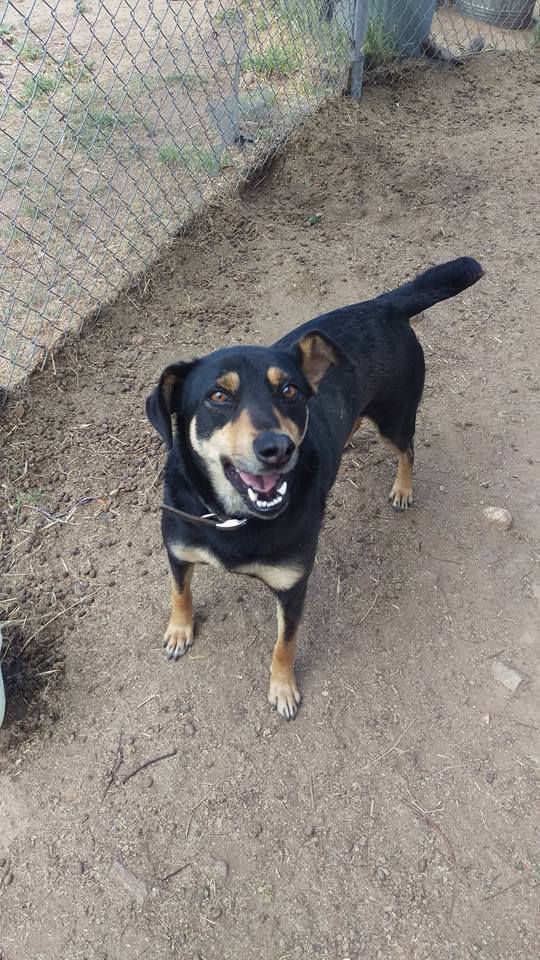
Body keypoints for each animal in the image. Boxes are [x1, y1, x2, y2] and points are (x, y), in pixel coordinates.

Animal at [146, 255, 484, 720]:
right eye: (217, 395)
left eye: (289, 389)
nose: (278, 448)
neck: (236, 518)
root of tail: (383, 304)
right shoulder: (178, 550)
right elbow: (180, 592)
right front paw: (179, 629)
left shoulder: (293, 587)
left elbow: (284, 644)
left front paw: (283, 687)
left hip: (394, 419)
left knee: (408, 449)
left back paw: (403, 488)